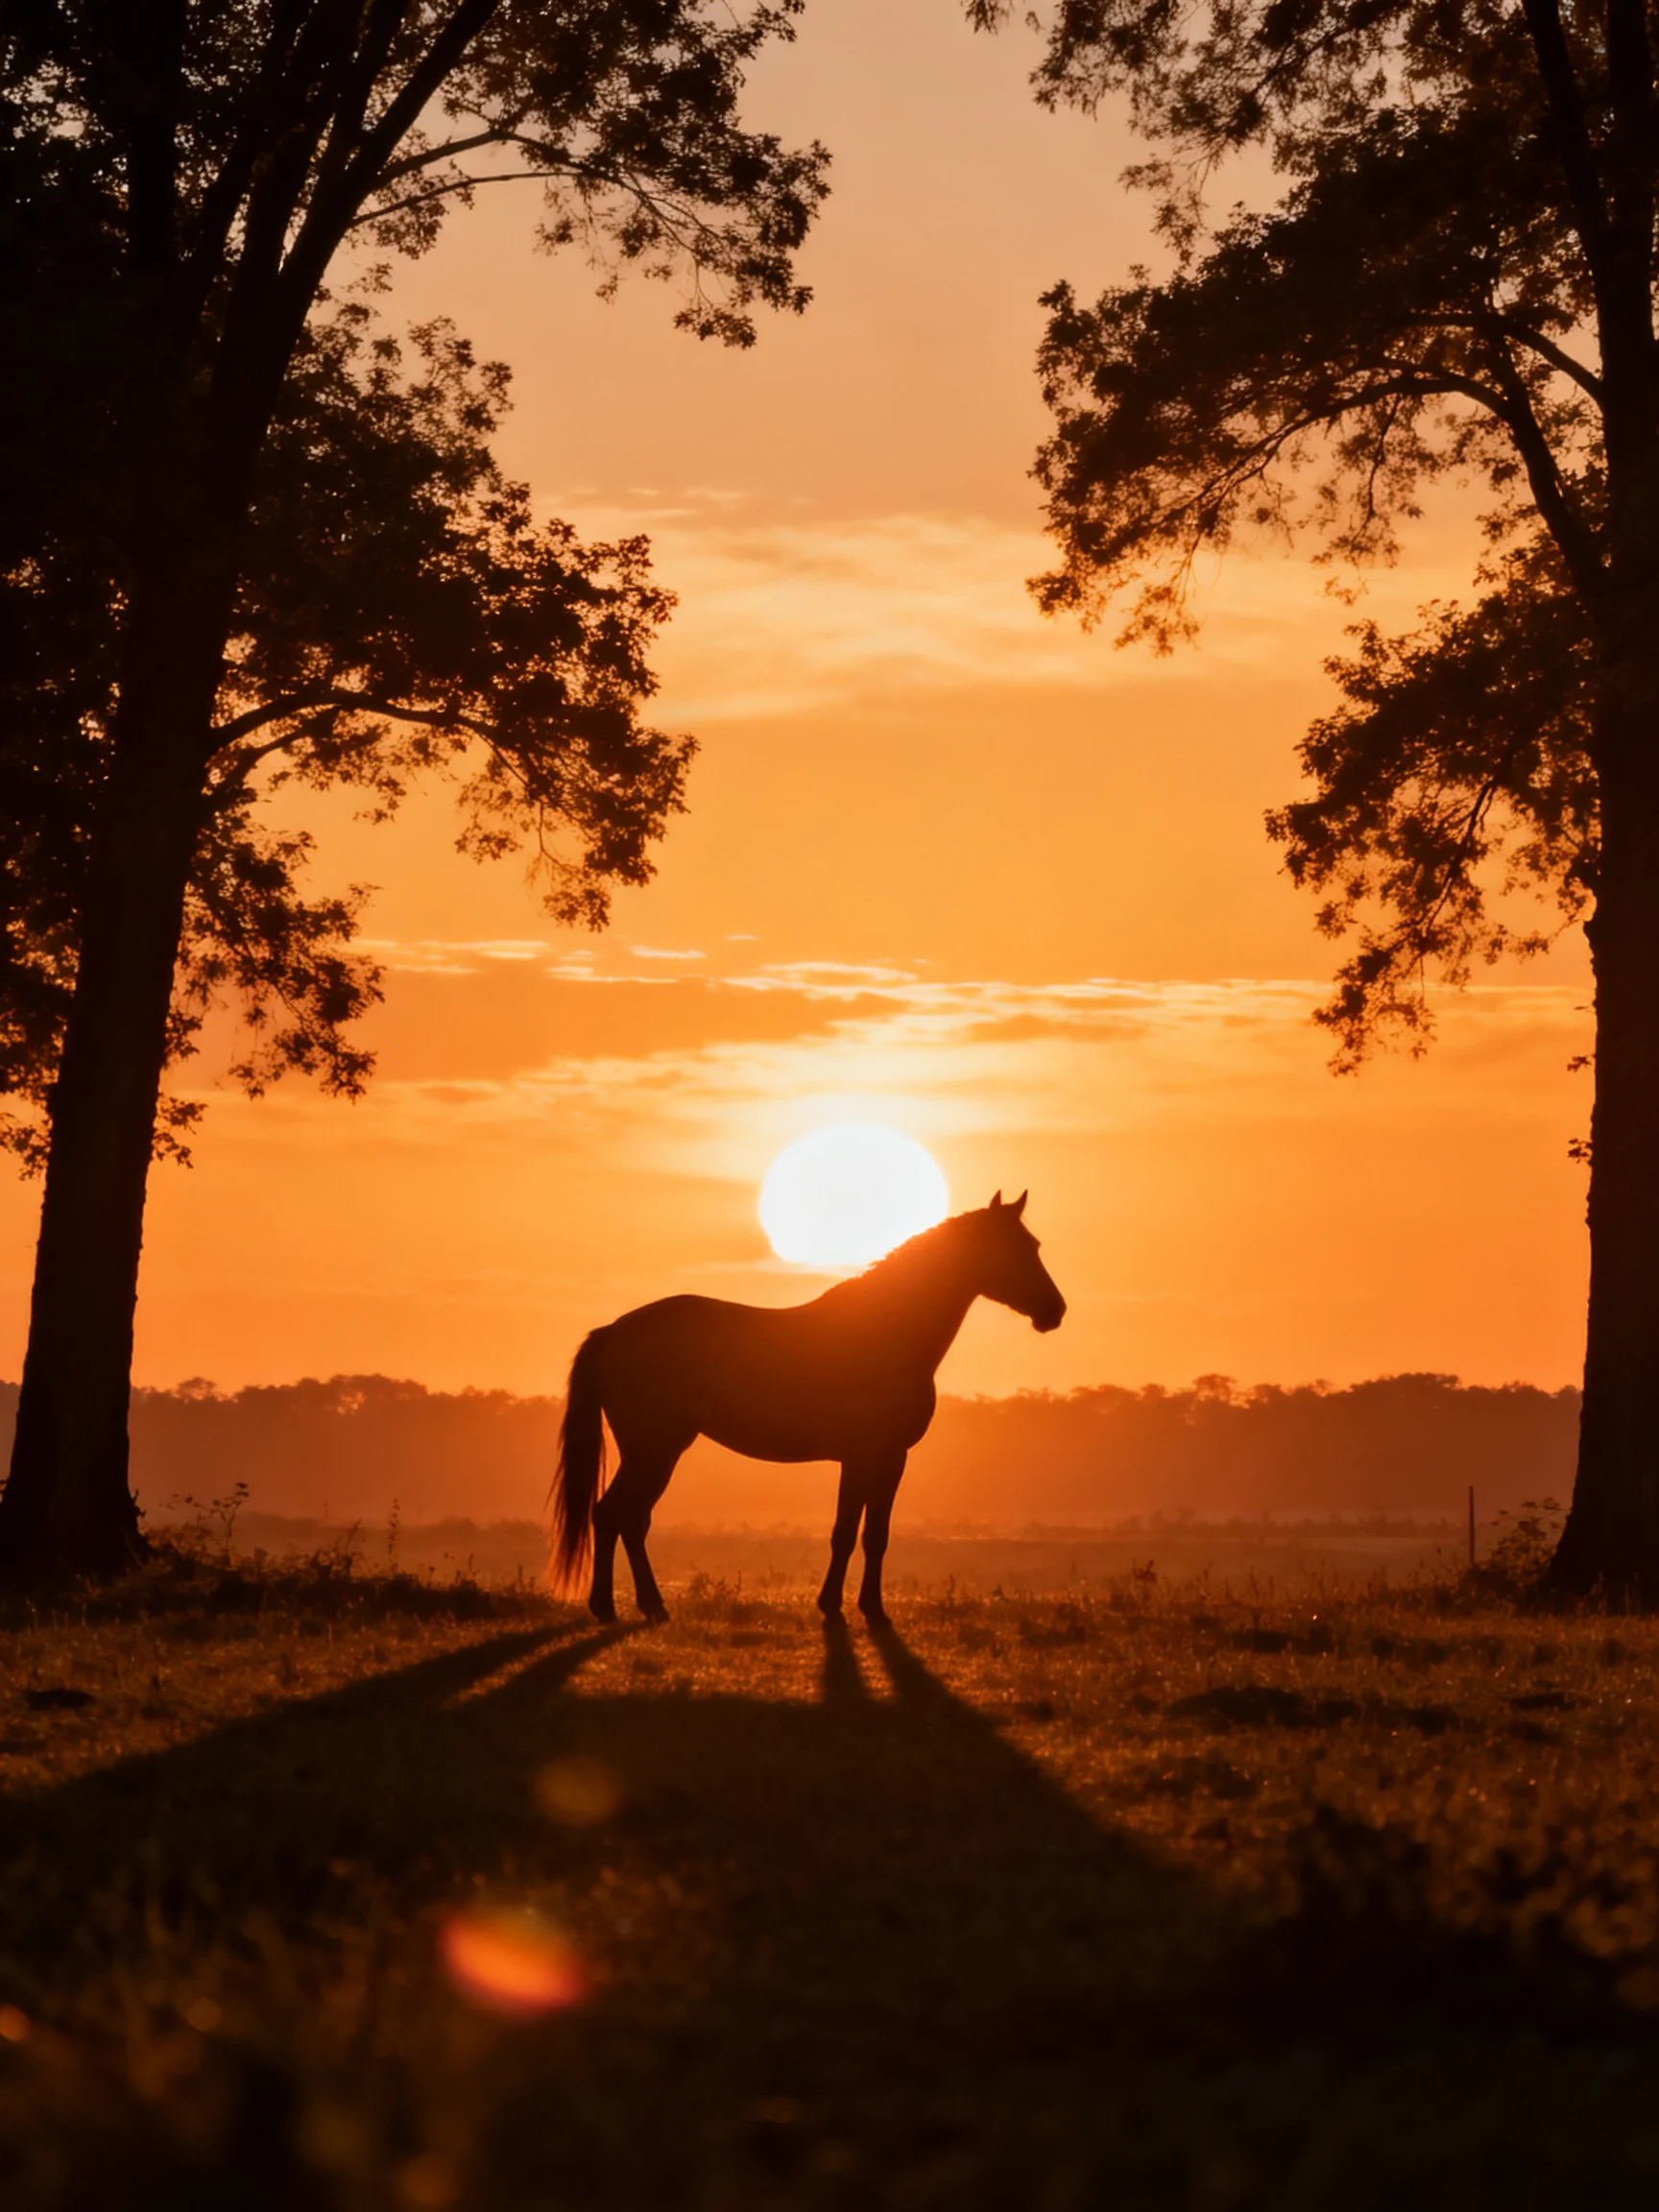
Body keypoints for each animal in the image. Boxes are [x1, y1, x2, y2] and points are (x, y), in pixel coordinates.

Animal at [551, 1190, 1066, 1625]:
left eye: (1035, 1244)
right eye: (1015, 1248)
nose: (1054, 1311)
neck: (890, 1332)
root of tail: (614, 1332)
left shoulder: (887, 1459)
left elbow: (871, 1534)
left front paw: (864, 1608)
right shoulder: (865, 1456)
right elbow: (850, 1532)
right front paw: (841, 1608)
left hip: (660, 1450)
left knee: (630, 1519)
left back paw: (649, 1607)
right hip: (653, 1449)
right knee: (613, 1515)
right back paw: (611, 1607)